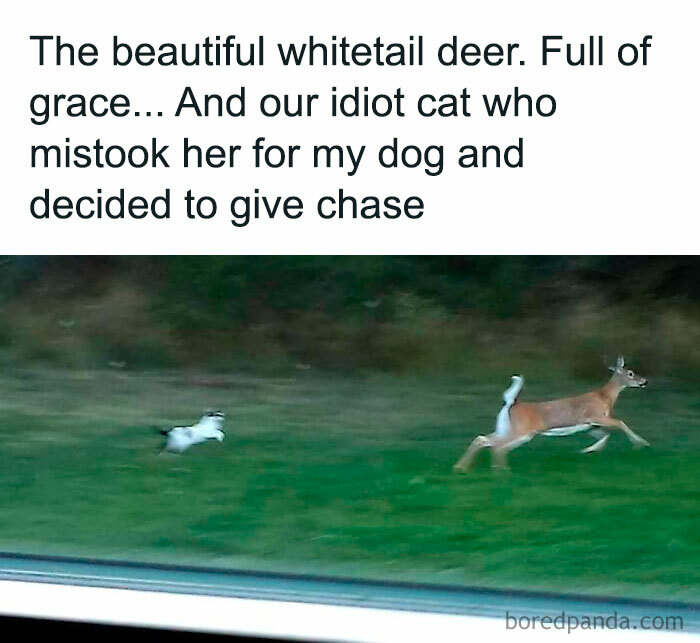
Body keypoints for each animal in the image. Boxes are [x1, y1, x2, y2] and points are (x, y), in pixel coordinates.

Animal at [453, 356, 649, 472]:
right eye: (631, 373)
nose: (644, 381)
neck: (605, 397)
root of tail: (511, 403)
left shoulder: (590, 425)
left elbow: (605, 435)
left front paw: (589, 450)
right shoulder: (596, 416)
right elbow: (620, 423)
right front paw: (641, 443)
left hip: (504, 427)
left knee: (482, 439)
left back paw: (461, 467)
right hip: (522, 431)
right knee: (498, 447)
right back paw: (501, 470)